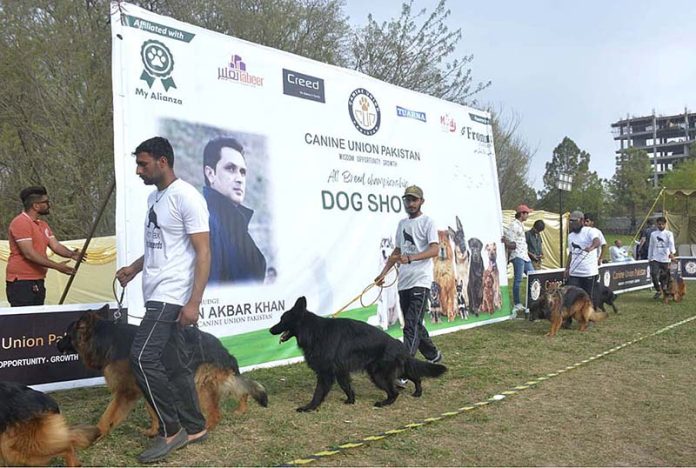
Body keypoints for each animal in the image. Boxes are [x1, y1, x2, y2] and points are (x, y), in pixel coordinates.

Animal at [57, 306, 266, 436]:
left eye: (66, 335)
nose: (56, 345)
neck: (105, 340)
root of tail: (221, 347)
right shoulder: (145, 385)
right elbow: (153, 411)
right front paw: (154, 431)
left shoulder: (127, 391)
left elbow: (107, 415)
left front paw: (97, 434)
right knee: (240, 387)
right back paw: (241, 408)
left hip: (200, 386)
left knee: (216, 413)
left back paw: (204, 428)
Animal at [266, 298, 446, 412]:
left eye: (282, 319)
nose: (270, 330)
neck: (313, 330)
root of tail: (398, 344)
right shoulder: (340, 371)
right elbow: (347, 387)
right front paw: (351, 400)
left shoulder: (326, 373)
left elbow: (318, 393)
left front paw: (309, 407)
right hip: (391, 370)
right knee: (416, 376)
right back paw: (418, 391)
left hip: (378, 375)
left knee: (394, 392)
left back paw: (384, 403)